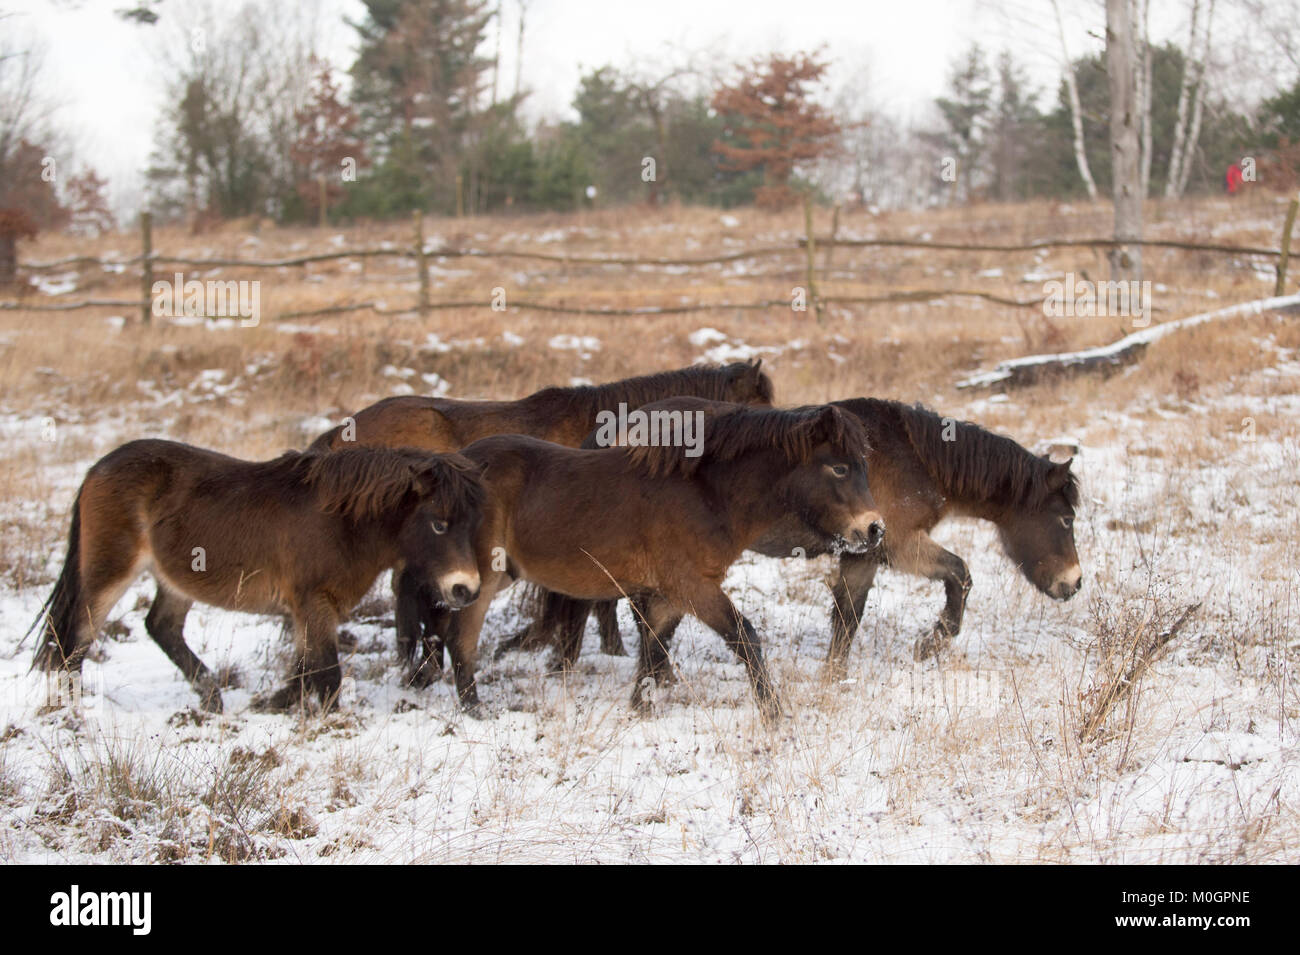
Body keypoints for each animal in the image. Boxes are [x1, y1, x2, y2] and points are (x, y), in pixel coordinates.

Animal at [30, 441, 488, 712]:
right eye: (438, 524)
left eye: (471, 525)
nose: (465, 589)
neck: (341, 522)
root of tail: (98, 468)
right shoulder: (312, 601)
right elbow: (327, 674)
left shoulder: (311, 609)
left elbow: (304, 669)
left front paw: (271, 704)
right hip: (110, 572)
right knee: (77, 637)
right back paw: (71, 711)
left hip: (175, 579)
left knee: (161, 627)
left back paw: (211, 697)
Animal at [416, 402, 883, 722]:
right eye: (839, 468)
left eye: (864, 465)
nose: (875, 529)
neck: (705, 493)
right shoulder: (692, 586)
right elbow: (744, 639)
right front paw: (774, 716)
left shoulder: (668, 595)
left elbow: (654, 649)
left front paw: (640, 708)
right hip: (482, 579)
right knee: (462, 640)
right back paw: (475, 711)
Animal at [512, 400, 1081, 675]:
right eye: (1065, 520)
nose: (1074, 584)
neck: (914, 453)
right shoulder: (892, 545)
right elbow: (958, 576)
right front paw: (931, 642)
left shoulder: (863, 552)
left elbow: (847, 616)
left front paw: (836, 674)